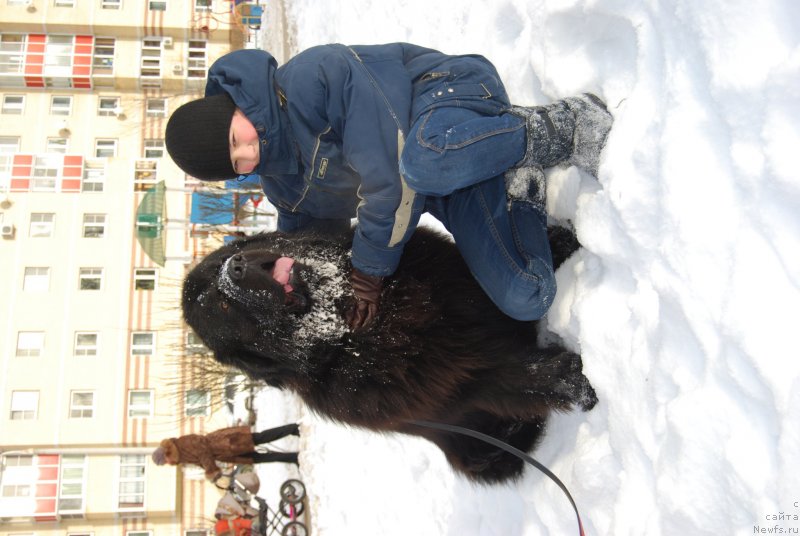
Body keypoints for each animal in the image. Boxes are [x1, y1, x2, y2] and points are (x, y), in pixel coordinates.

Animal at [181, 226, 592, 486]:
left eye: (231, 254)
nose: (235, 268)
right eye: (222, 306)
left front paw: (558, 243)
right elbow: (517, 377)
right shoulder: (463, 379)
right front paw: (573, 382)